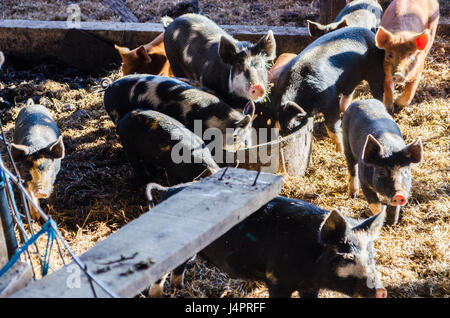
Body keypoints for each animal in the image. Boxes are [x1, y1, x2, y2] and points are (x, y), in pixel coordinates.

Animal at [147, 184, 386, 298]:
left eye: (371, 257)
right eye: (347, 258)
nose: (381, 291)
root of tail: (167, 190)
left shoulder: (310, 286)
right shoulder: (277, 279)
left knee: (178, 268)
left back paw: (180, 289)